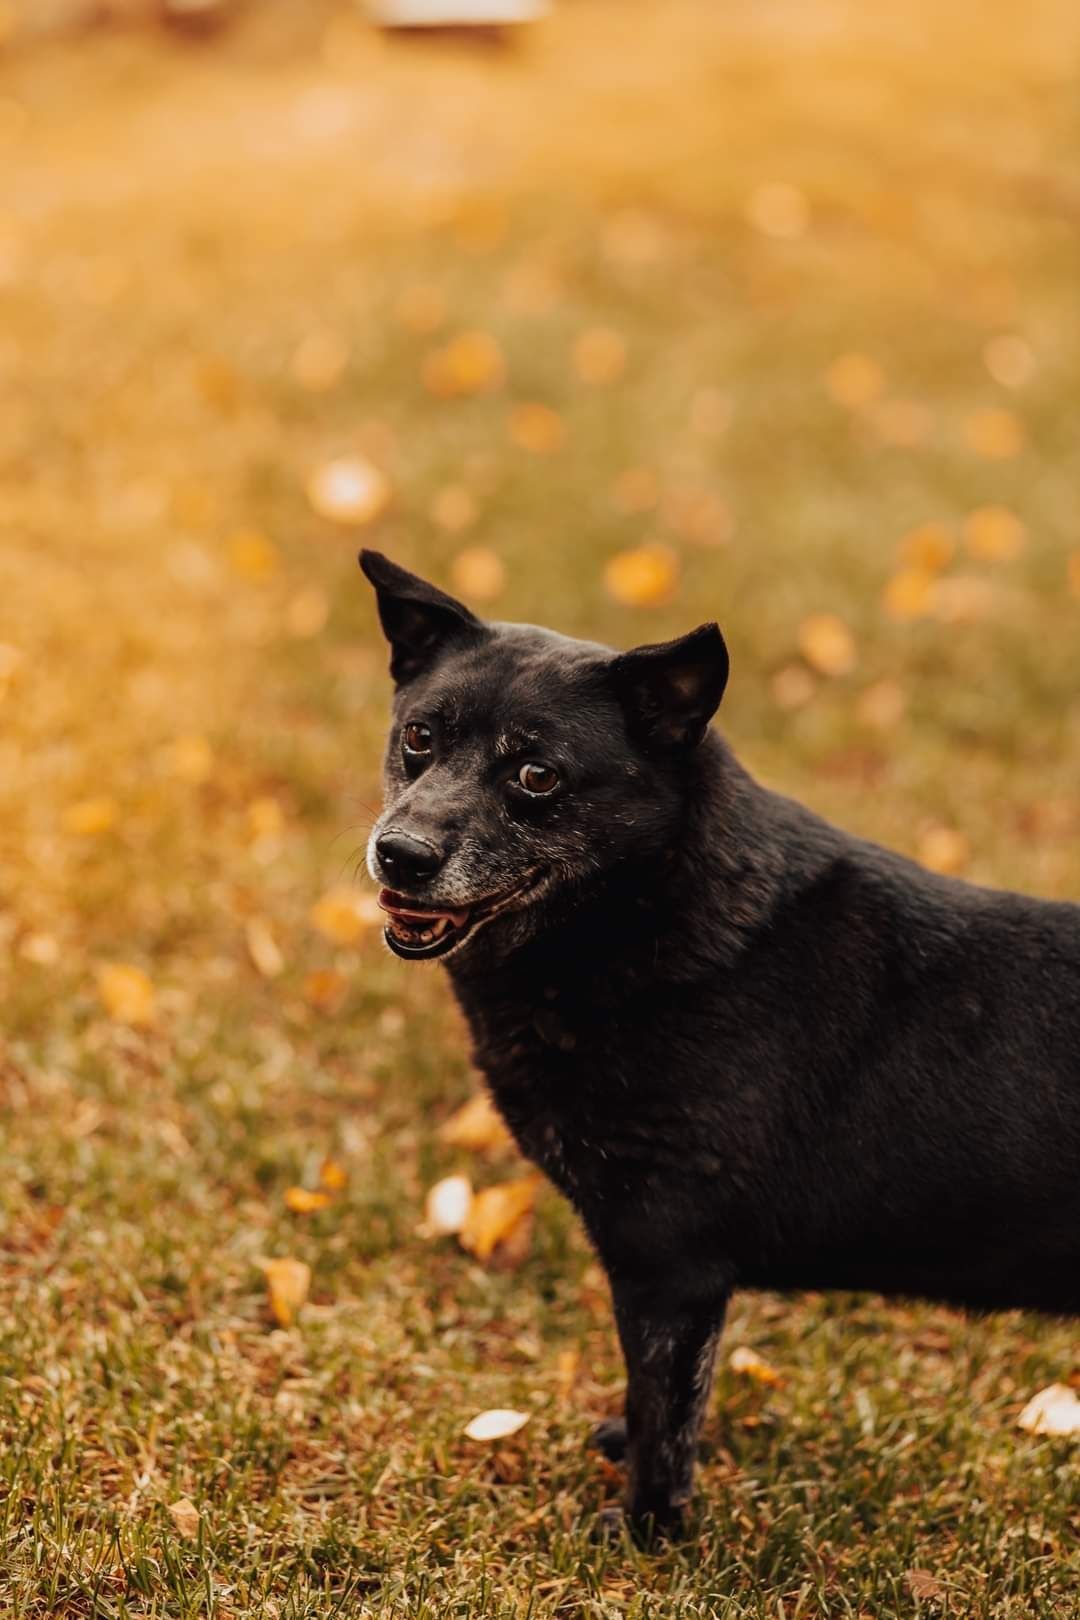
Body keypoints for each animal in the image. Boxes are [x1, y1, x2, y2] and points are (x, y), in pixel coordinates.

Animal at [361, 550, 1080, 1535]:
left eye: (538, 775)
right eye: (420, 738)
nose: (399, 855)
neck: (647, 916)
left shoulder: (670, 1265)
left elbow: (667, 1416)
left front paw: (644, 1537)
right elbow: (652, 1405)